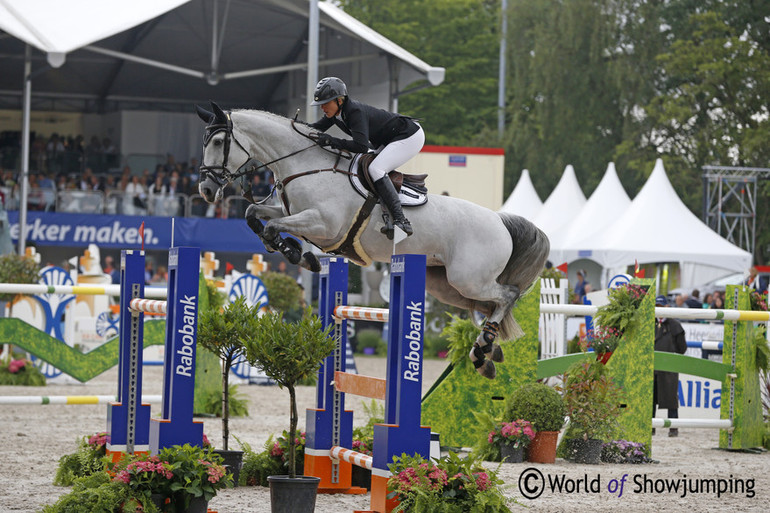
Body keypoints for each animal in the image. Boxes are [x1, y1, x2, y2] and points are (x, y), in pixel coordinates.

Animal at [195, 102, 548, 378]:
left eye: (219, 141)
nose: (206, 190)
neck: (305, 166)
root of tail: (500, 221)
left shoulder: (323, 224)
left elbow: (273, 228)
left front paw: (296, 254)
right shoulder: (289, 211)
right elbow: (253, 214)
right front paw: (291, 249)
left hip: (468, 279)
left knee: (507, 295)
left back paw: (484, 348)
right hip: (448, 285)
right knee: (492, 304)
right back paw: (487, 353)